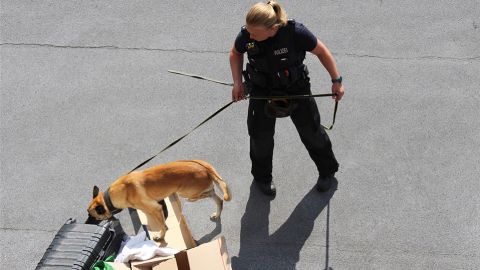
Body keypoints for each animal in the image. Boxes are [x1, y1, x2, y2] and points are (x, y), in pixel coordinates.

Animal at [86, 160, 231, 240]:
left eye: (92, 216)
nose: (85, 223)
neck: (109, 198)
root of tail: (205, 168)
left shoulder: (155, 208)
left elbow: (162, 225)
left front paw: (161, 236)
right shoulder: (156, 206)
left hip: (186, 192)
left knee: (208, 194)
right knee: (218, 198)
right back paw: (217, 213)